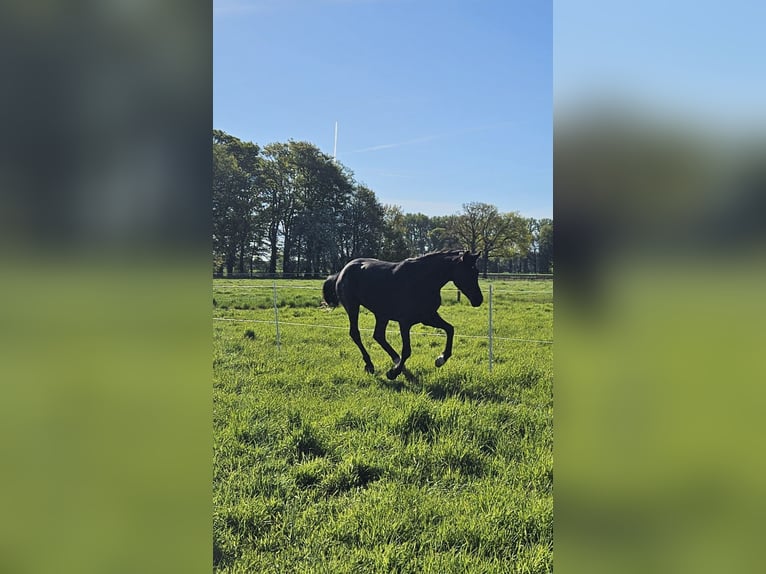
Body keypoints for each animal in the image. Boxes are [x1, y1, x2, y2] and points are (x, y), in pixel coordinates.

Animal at [322, 250, 483, 380]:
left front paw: (440, 359)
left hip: (382, 314)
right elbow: (407, 350)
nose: (478, 300)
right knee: (355, 333)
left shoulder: (428, 317)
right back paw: (370, 365)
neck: (423, 281)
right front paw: (392, 373)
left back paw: (395, 360)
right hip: (353, 307)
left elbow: (450, 329)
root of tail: (341, 272)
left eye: (476, 272)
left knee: (378, 335)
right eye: (468, 272)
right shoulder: (405, 322)